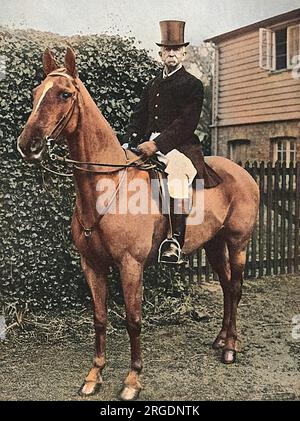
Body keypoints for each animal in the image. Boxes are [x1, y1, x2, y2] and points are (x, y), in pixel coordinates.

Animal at [17, 47, 258, 398]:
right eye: (36, 93)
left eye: (64, 94)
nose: (28, 144)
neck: (106, 186)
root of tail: (243, 173)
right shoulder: (92, 264)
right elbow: (100, 317)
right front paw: (94, 375)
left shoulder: (130, 265)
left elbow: (133, 320)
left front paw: (132, 380)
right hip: (213, 244)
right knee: (227, 287)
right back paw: (220, 339)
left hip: (238, 243)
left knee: (236, 287)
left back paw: (231, 347)